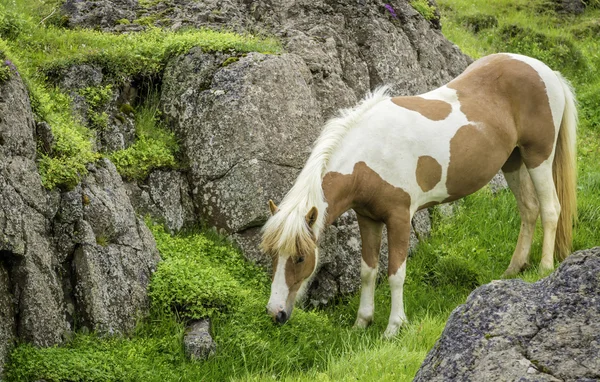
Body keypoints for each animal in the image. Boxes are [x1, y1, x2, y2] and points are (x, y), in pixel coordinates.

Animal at [262, 53, 576, 338]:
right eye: (272, 254)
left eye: (300, 258)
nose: (275, 314)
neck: (370, 153)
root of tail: (547, 71)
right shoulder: (368, 219)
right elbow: (368, 271)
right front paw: (362, 322)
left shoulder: (399, 218)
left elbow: (396, 273)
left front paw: (393, 328)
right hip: (512, 161)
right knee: (529, 209)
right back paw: (513, 269)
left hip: (538, 157)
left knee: (550, 209)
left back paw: (545, 268)